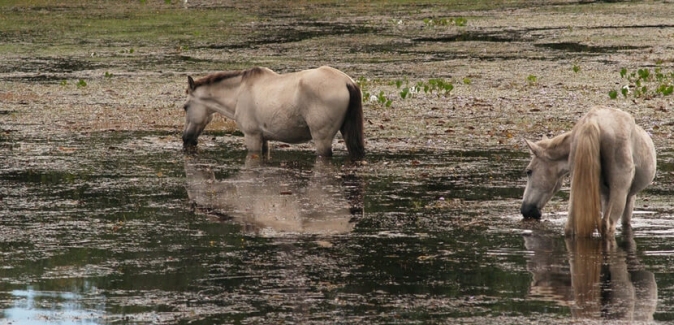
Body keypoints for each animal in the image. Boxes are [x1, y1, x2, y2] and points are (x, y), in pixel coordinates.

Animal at [181, 66, 364, 160]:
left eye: (185, 107)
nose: (186, 139)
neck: (239, 92)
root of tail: (347, 81)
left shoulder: (252, 137)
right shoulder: (263, 139)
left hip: (322, 140)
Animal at [516, 107, 652, 237]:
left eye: (529, 171)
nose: (525, 210)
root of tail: (592, 122)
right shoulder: (627, 197)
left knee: (570, 227)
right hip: (619, 190)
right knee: (608, 225)